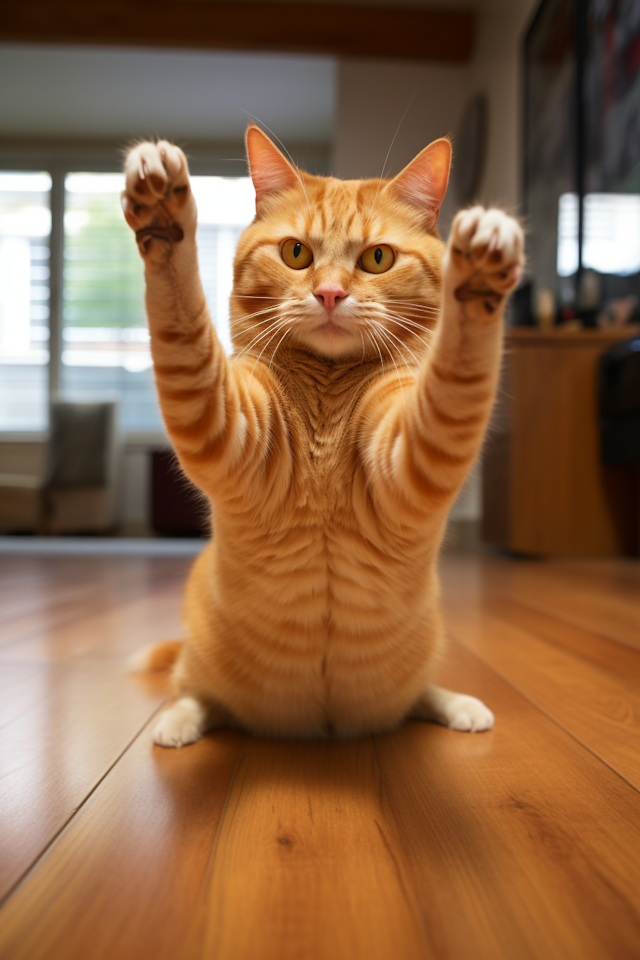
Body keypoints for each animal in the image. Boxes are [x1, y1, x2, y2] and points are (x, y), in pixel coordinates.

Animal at [122, 124, 524, 748]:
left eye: (378, 258)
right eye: (296, 253)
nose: (331, 294)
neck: (328, 402)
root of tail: (320, 726)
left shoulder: (413, 450)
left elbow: (457, 371)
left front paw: (478, 274)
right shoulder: (224, 419)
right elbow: (181, 314)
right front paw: (163, 214)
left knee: (416, 696)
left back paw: (458, 705)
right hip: (201, 662)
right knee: (194, 690)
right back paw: (177, 722)